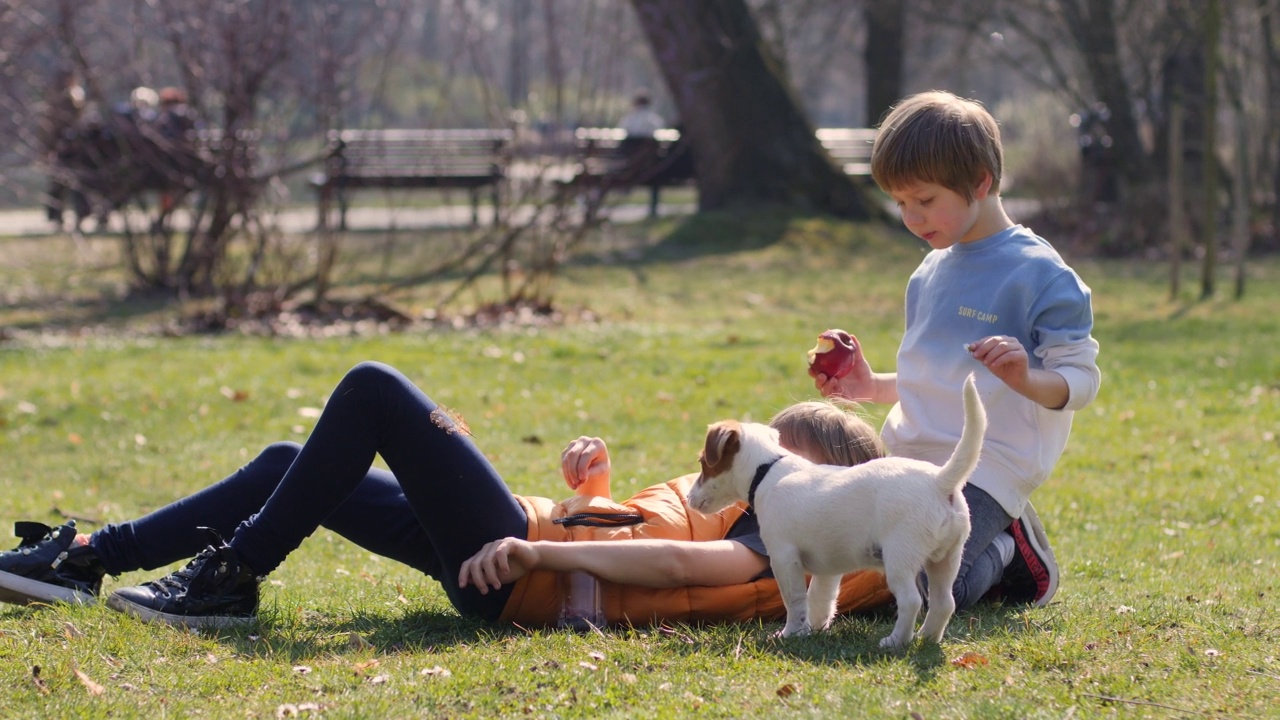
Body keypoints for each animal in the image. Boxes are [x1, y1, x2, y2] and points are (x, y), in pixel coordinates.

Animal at [686, 368, 983, 645]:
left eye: (703, 462)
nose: (689, 498)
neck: (768, 469)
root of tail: (939, 482)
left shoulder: (783, 556)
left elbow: (795, 601)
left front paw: (791, 634)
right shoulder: (827, 569)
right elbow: (819, 599)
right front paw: (815, 629)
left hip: (900, 556)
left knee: (911, 600)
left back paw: (895, 642)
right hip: (947, 557)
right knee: (944, 603)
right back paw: (927, 638)